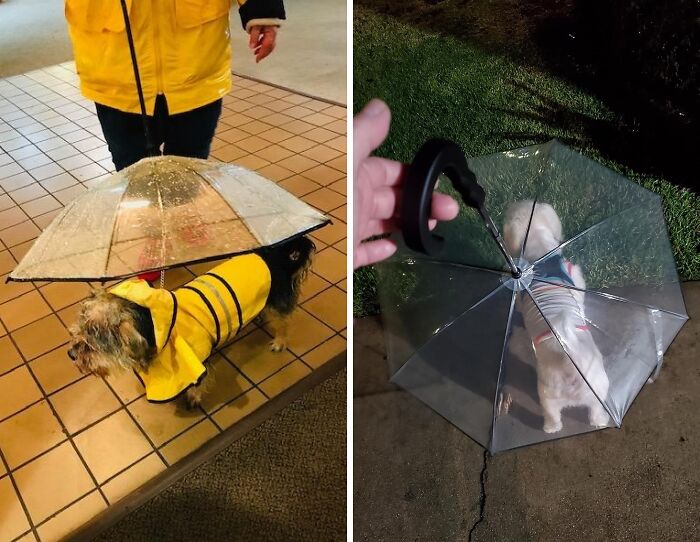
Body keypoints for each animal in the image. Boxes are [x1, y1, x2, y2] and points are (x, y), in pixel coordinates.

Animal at [67, 238, 314, 408]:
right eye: (77, 331)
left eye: (93, 338)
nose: (71, 354)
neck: (151, 323)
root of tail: (277, 257)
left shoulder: (198, 359)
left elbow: (197, 383)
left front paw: (193, 397)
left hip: (278, 302)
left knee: (284, 321)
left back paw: (280, 341)